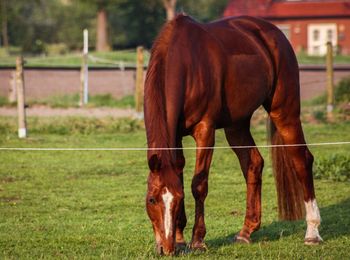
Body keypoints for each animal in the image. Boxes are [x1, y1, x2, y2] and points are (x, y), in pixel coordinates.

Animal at [144, 14, 322, 256]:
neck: (185, 63)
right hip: (237, 126)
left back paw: (312, 232)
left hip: (285, 112)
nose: (166, 248)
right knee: (254, 163)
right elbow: (179, 175)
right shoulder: (177, 137)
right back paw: (246, 231)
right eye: (152, 199)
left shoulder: (205, 131)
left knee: (302, 161)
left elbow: (198, 185)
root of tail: (273, 33)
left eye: (178, 199)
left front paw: (197, 240)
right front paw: (180, 239)